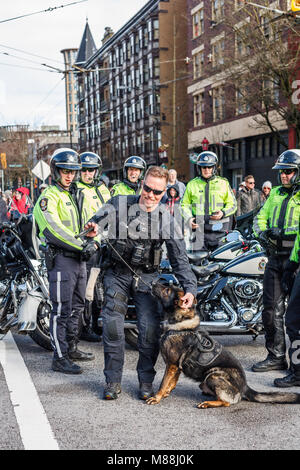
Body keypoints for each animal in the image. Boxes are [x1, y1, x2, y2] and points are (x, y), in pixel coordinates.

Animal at [146, 282, 300, 408]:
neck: (179, 324)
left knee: (227, 402)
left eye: (166, 290)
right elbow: (171, 383)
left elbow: (163, 383)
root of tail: (245, 387)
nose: (152, 282)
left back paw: (208, 403)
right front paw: (166, 393)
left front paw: (157, 397)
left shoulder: (171, 365)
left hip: (214, 374)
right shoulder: (176, 368)